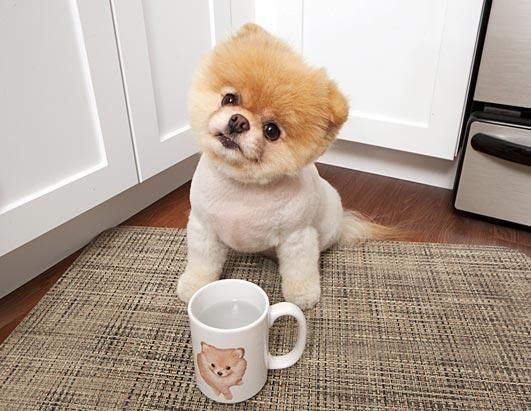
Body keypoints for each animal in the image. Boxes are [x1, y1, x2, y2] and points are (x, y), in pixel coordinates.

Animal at [179, 23, 394, 308]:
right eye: (229, 99)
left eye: (272, 131)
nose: (238, 121)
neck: (241, 189)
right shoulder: (204, 228)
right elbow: (202, 263)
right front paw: (194, 285)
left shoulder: (297, 237)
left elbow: (299, 270)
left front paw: (303, 296)